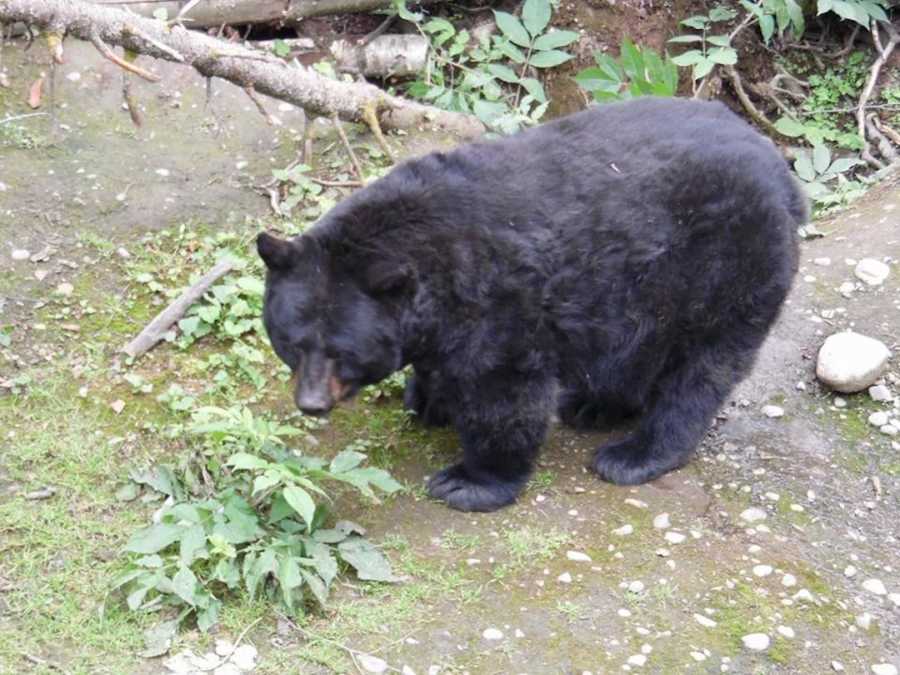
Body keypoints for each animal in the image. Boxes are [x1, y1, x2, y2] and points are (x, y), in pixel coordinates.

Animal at [256, 97, 804, 512]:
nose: (311, 403)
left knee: (701, 368)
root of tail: (780, 169)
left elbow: (505, 393)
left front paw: (469, 480)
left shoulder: (499, 301)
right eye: (291, 342)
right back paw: (594, 405)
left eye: (343, 351)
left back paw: (635, 453)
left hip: (725, 266)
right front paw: (427, 398)